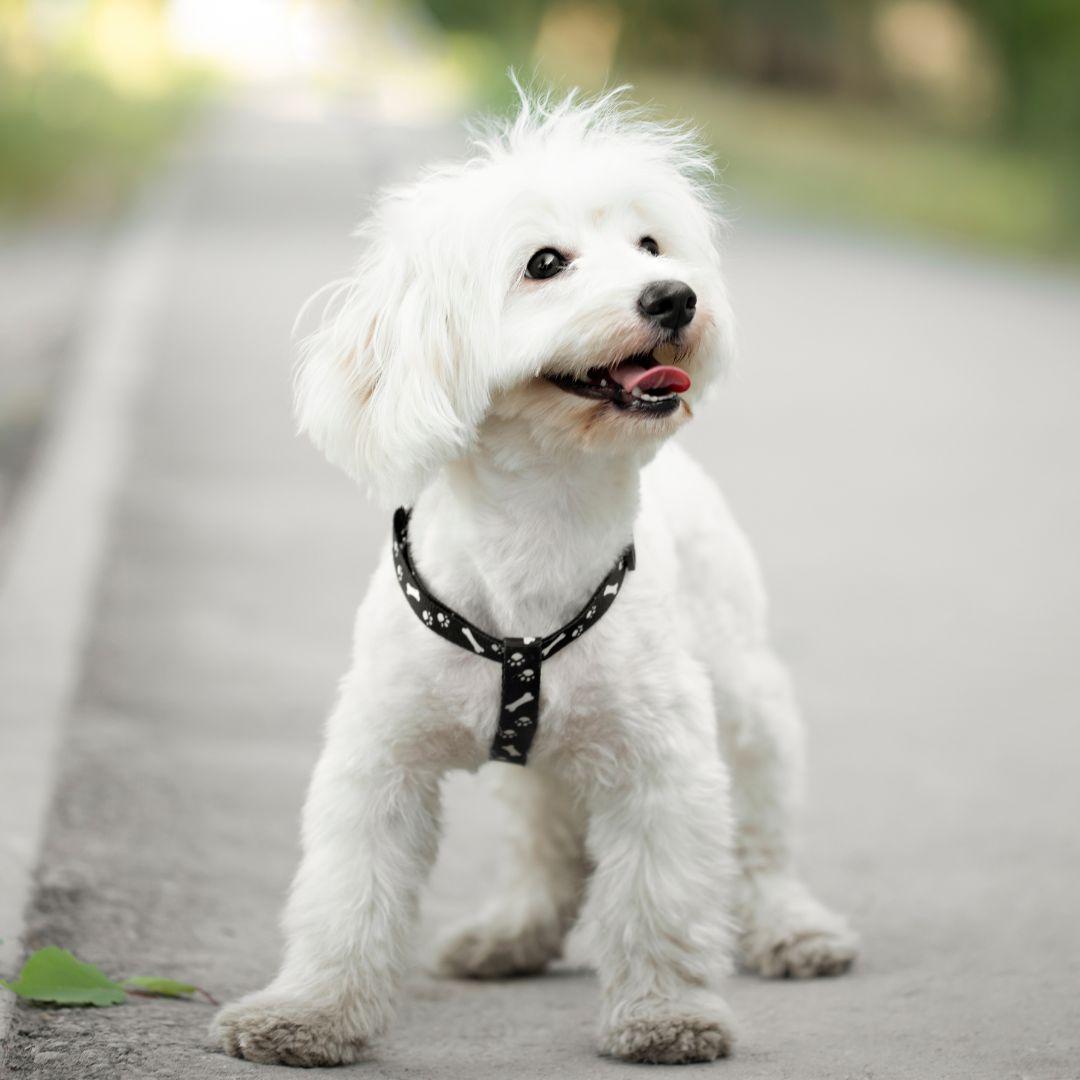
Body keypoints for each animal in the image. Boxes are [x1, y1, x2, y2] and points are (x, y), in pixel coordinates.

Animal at [214, 88, 855, 1067]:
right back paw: (511, 931)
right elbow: (348, 896)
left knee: (762, 840)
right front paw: (309, 1013)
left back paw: (793, 925)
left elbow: (659, 899)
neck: (540, 531)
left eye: (651, 246)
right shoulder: (378, 760)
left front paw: (664, 1014)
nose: (675, 296)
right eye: (544, 264)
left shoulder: (663, 764)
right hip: (540, 772)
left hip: (749, 703)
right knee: (544, 846)